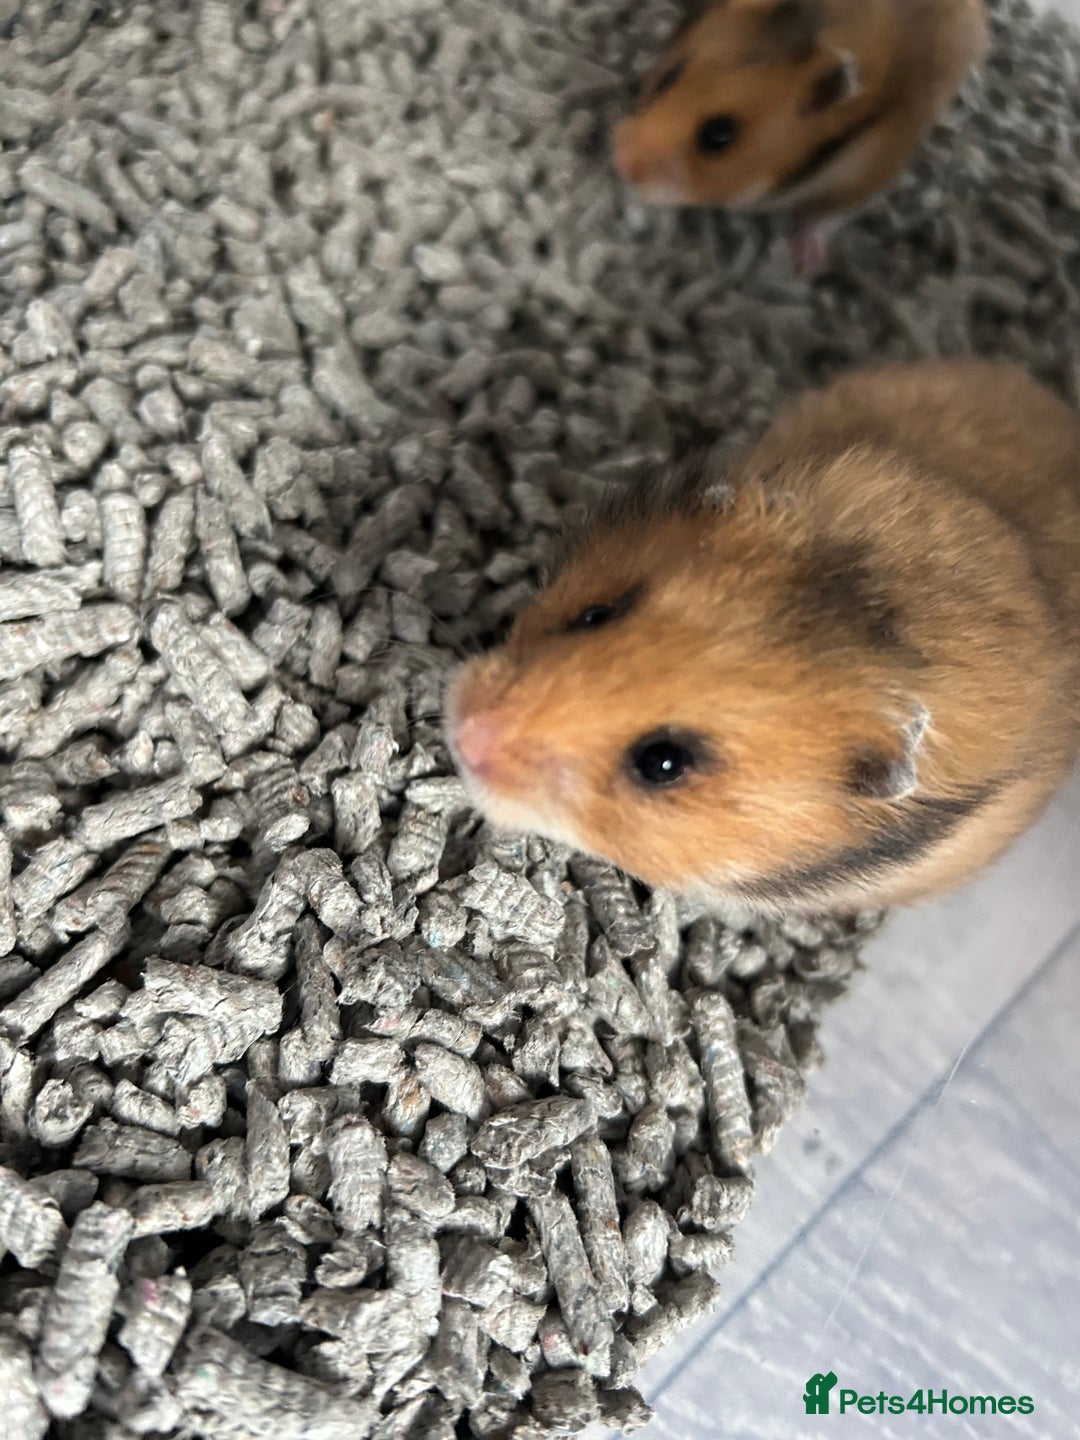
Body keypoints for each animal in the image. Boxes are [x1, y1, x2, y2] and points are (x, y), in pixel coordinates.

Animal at [612, 0, 988, 272]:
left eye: (718, 136)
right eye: (667, 78)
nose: (623, 163)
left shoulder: (866, 173)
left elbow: (823, 215)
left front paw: (805, 263)